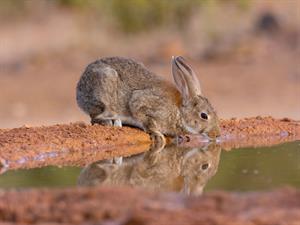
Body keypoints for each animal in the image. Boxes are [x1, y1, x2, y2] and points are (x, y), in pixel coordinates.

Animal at [76, 55, 219, 144]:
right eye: (204, 115)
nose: (217, 134)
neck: (179, 111)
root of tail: (79, 90)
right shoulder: (141, 104)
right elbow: (145, 119)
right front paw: (158, 135)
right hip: (104, 92)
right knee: (94, 117)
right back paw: (112, 122)